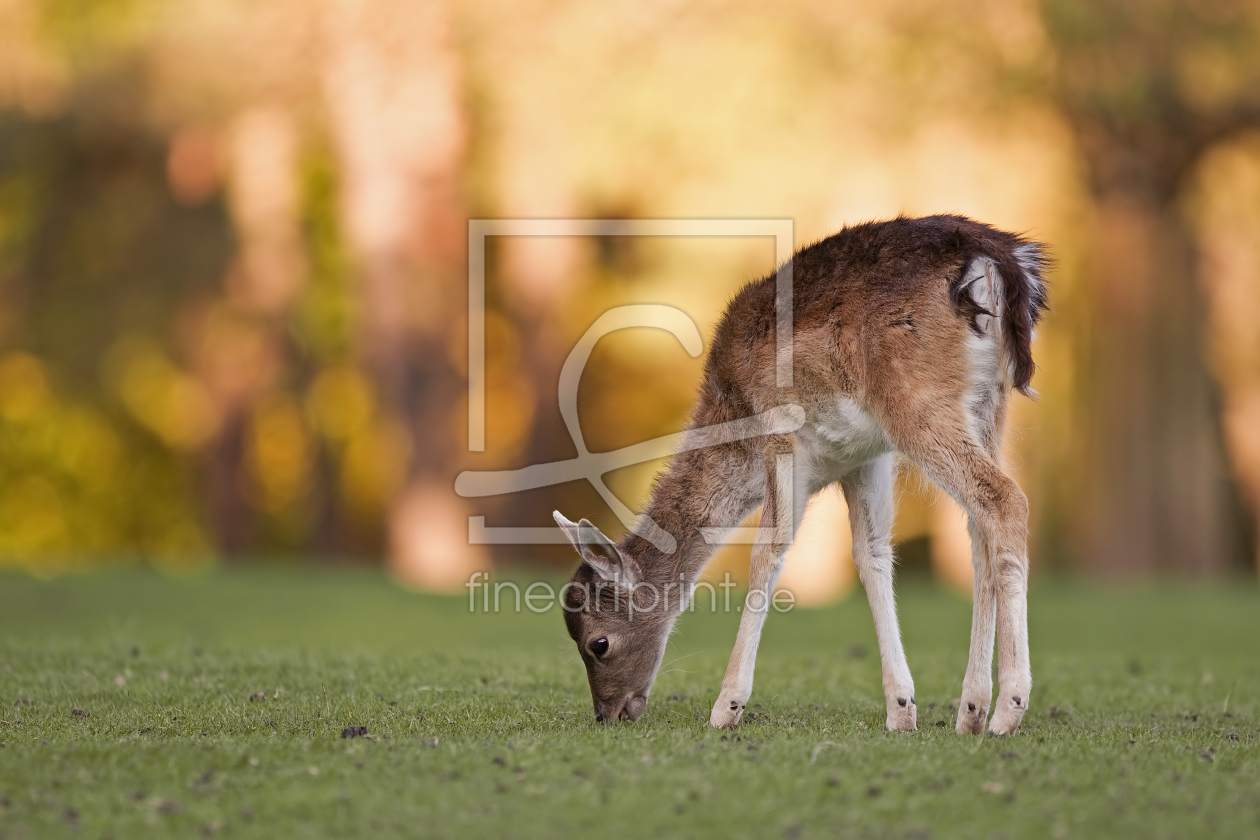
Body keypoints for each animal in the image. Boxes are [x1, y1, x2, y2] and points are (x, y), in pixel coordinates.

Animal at [556, 215, 1048, 735]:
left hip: (916, 400)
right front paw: (901, 710)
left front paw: (726, 707)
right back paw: (971, 710)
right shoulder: (864, 457)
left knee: (1004, 498)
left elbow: (767, 551)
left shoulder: (781, 436)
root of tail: (998, 258)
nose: (607, 714)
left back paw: (1008, 709)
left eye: (598, 643)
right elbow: (871, 554)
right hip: (989, 406)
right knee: (978, 525)